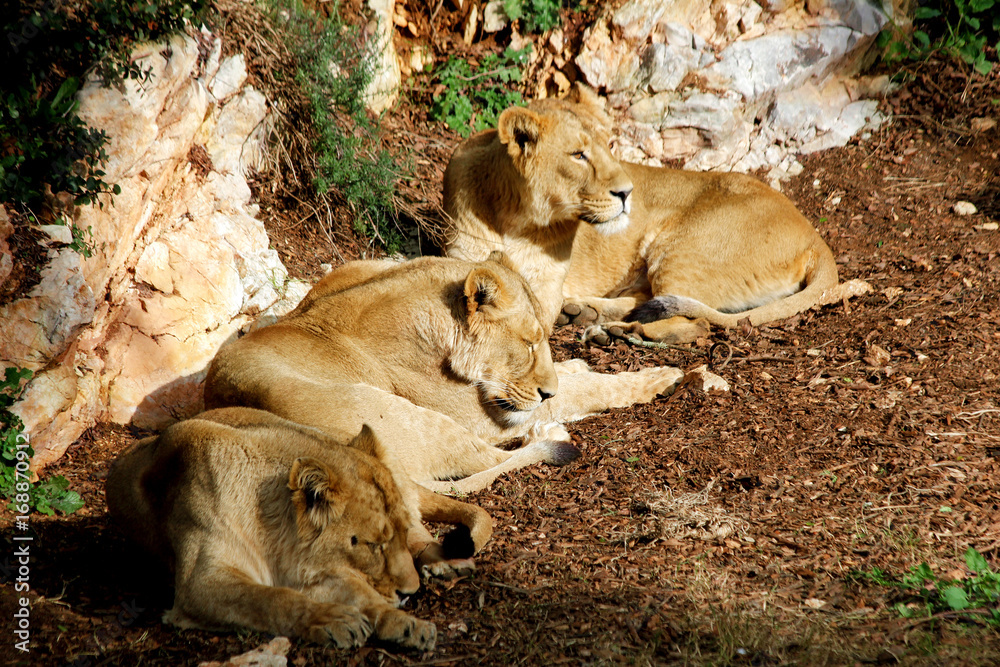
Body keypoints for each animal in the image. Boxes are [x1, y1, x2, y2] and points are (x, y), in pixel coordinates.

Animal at [105, 407, 497, 651]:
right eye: (372, 545)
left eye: (393, 538)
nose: (410, 593)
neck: (274, 537)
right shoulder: (198, 585)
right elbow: (270, 599)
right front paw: (334, 620)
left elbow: (362, 593)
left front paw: (403, 622)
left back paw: (445, 561)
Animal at [203, 253, 683, 495]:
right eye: (528, 344)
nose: (545, 392)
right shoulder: (484, 412)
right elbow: (579, 390)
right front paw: (658, 377)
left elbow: (572, 377)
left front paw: (579, 364)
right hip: (391, 410)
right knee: (489, 459)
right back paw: (551, 435)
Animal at [442, 85, 871, 344]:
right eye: (579, 155)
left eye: (609, 146)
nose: (627, 192)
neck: (514, 218)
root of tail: (814, 235)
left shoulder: (542, 292)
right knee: (652, 299)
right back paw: (585, 313)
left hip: (683, 246)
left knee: (693, 321)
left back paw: (616, 330)